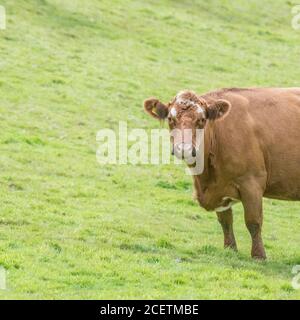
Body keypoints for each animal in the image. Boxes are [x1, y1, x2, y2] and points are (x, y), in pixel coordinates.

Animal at [144, 87, 300, 260]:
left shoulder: (252, 182)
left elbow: (253, 222)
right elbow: (225, 221)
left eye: (201, 120)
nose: (183, 149)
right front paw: (230, 249)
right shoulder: (220, 189)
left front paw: (259, 256)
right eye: (171, 119)